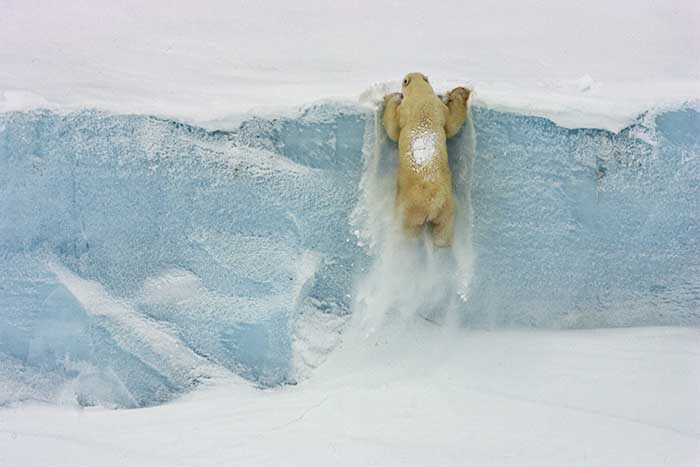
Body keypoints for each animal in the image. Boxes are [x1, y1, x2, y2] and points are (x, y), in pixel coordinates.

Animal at [382, 72, 470, 249]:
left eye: (404, 80)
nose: (408, 75)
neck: (421, 96)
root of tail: (432, 204)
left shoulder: (405, 110)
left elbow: (393, 129)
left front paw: (390, 97)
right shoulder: (439, 108)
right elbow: (452, 124)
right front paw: (460, 92)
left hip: (411, 208)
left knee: (409, 229)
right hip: (446, 207)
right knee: (444, 229)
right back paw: (442, 244)